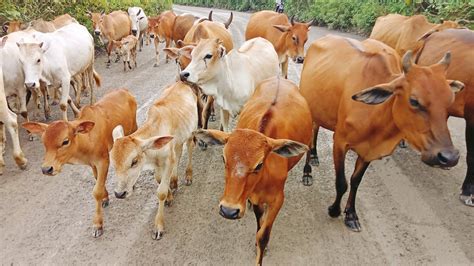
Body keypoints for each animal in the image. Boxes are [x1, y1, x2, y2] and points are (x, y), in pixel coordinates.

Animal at [22, 89, 137, 237]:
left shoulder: (103, 160)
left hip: (134, 128)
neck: (86, 139)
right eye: (44, 142)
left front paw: (97, 224)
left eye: (65, 141)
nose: (46, 169)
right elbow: (97, 181)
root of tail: (124, 90)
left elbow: (96, 191)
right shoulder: (92, 163)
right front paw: (105, 198)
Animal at [194, 76, 312, 264]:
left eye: (259, 164)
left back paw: (308, 173)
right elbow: (259, 224)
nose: (228, 210)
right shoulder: (256, 198)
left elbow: (263, 236)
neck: (264, 180)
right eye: (223, 158)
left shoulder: (278, 199)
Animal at [302, 34, 462, 231]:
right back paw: (307, 171)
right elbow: (341, 183)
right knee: (311, 136)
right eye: (414, 101)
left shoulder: (369, 152)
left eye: (450, 100)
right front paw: (334, 210)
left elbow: (355, 181)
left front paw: (351, 214)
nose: (449, 157)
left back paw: (315, 156)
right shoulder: (339, 142)